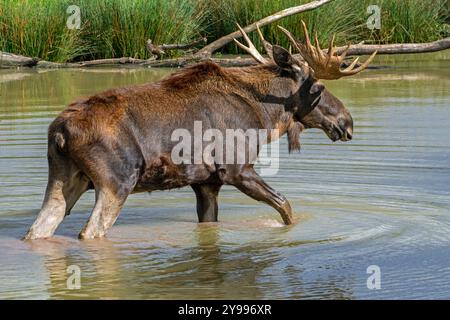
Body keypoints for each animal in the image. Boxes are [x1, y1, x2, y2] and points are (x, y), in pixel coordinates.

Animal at [23, 22, 376, 239]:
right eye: (318, 88)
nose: (347, 122)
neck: (266, 115)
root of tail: (60, 133)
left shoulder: (206, 182)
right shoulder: (236, 169)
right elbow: (286, 207)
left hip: (65, 178)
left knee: (39, 229)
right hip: (116, 180)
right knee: (90, 232)